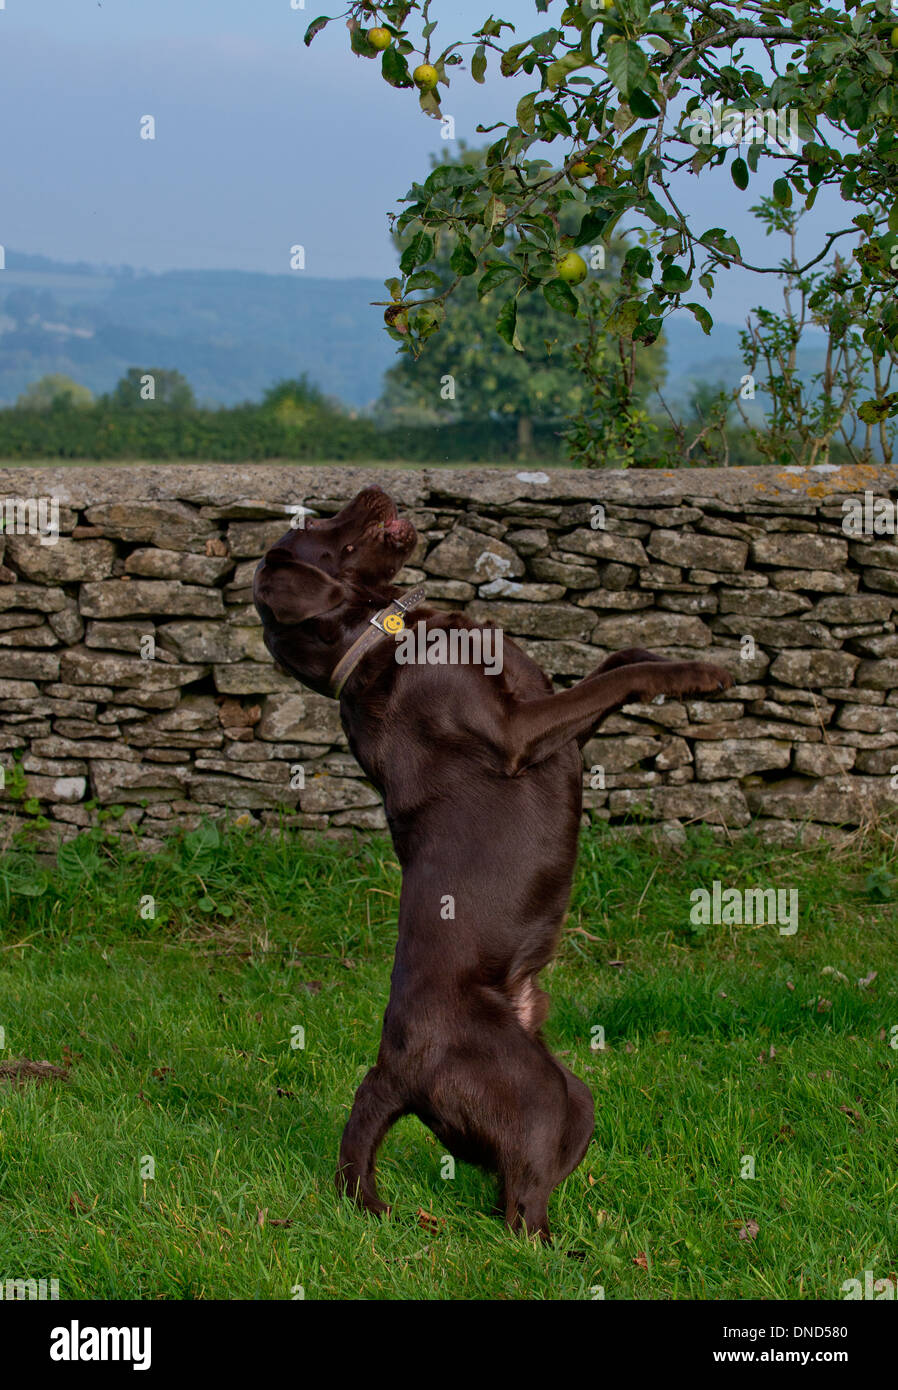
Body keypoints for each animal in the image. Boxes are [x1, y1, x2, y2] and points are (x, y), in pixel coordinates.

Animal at [252, 486, 733, 1239]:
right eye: (321, 526)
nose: (373, 490)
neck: (378, 638)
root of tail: (392, 1070)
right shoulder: (518, 732)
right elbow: (620, 675)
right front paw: (699, 673)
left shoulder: (551, 720)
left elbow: (617, 657)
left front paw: (663, 651)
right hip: (534, 1093)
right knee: (520, 1212)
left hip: (570, 1096)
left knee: (511, 1185)